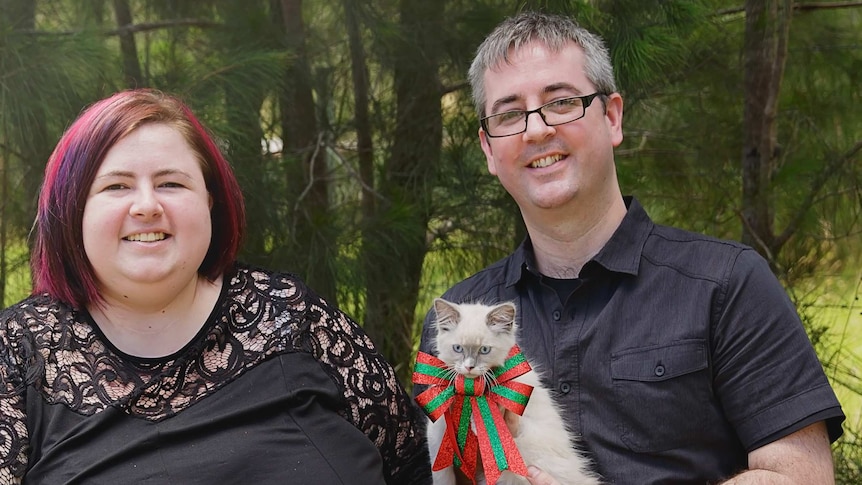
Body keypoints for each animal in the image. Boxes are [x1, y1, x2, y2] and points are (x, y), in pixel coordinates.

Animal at [424, 298, 600, 484]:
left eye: (484, 350)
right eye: (458, 348)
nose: (469, 367)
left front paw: (480, 426)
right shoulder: (436, 431)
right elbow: (441, 474)